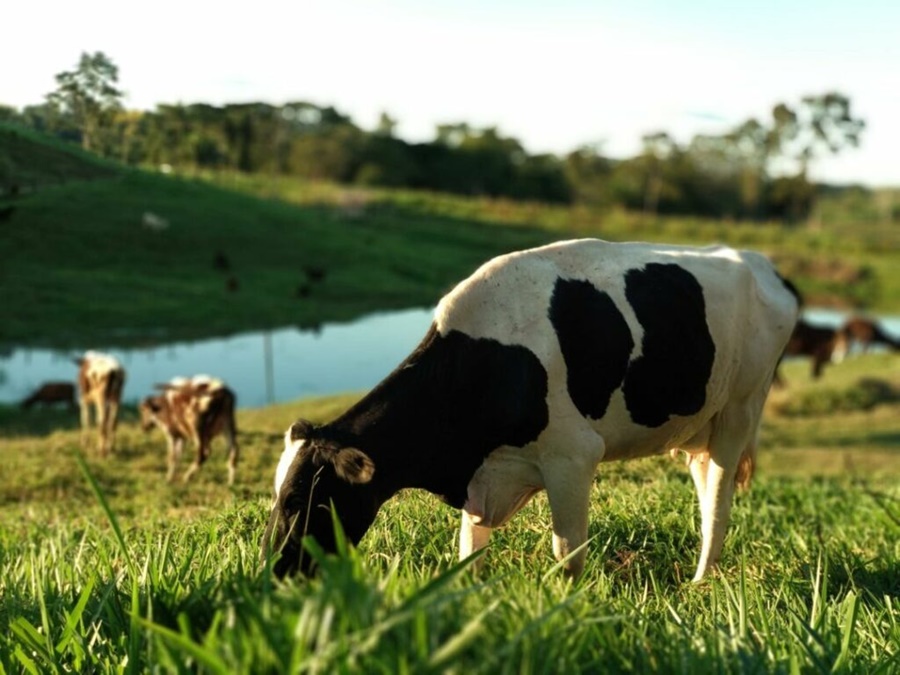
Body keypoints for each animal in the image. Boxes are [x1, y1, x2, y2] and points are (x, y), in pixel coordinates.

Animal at [262, 240, 800, 584]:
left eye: (301, 500)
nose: (273, 573)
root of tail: (759, 262)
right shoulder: (483, 476)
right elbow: (468, 555)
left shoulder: (573, 456)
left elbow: (568, 556)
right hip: (699, 428)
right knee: (705, 485)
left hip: (739, 410)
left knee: (718, 502)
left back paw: (700, 581)